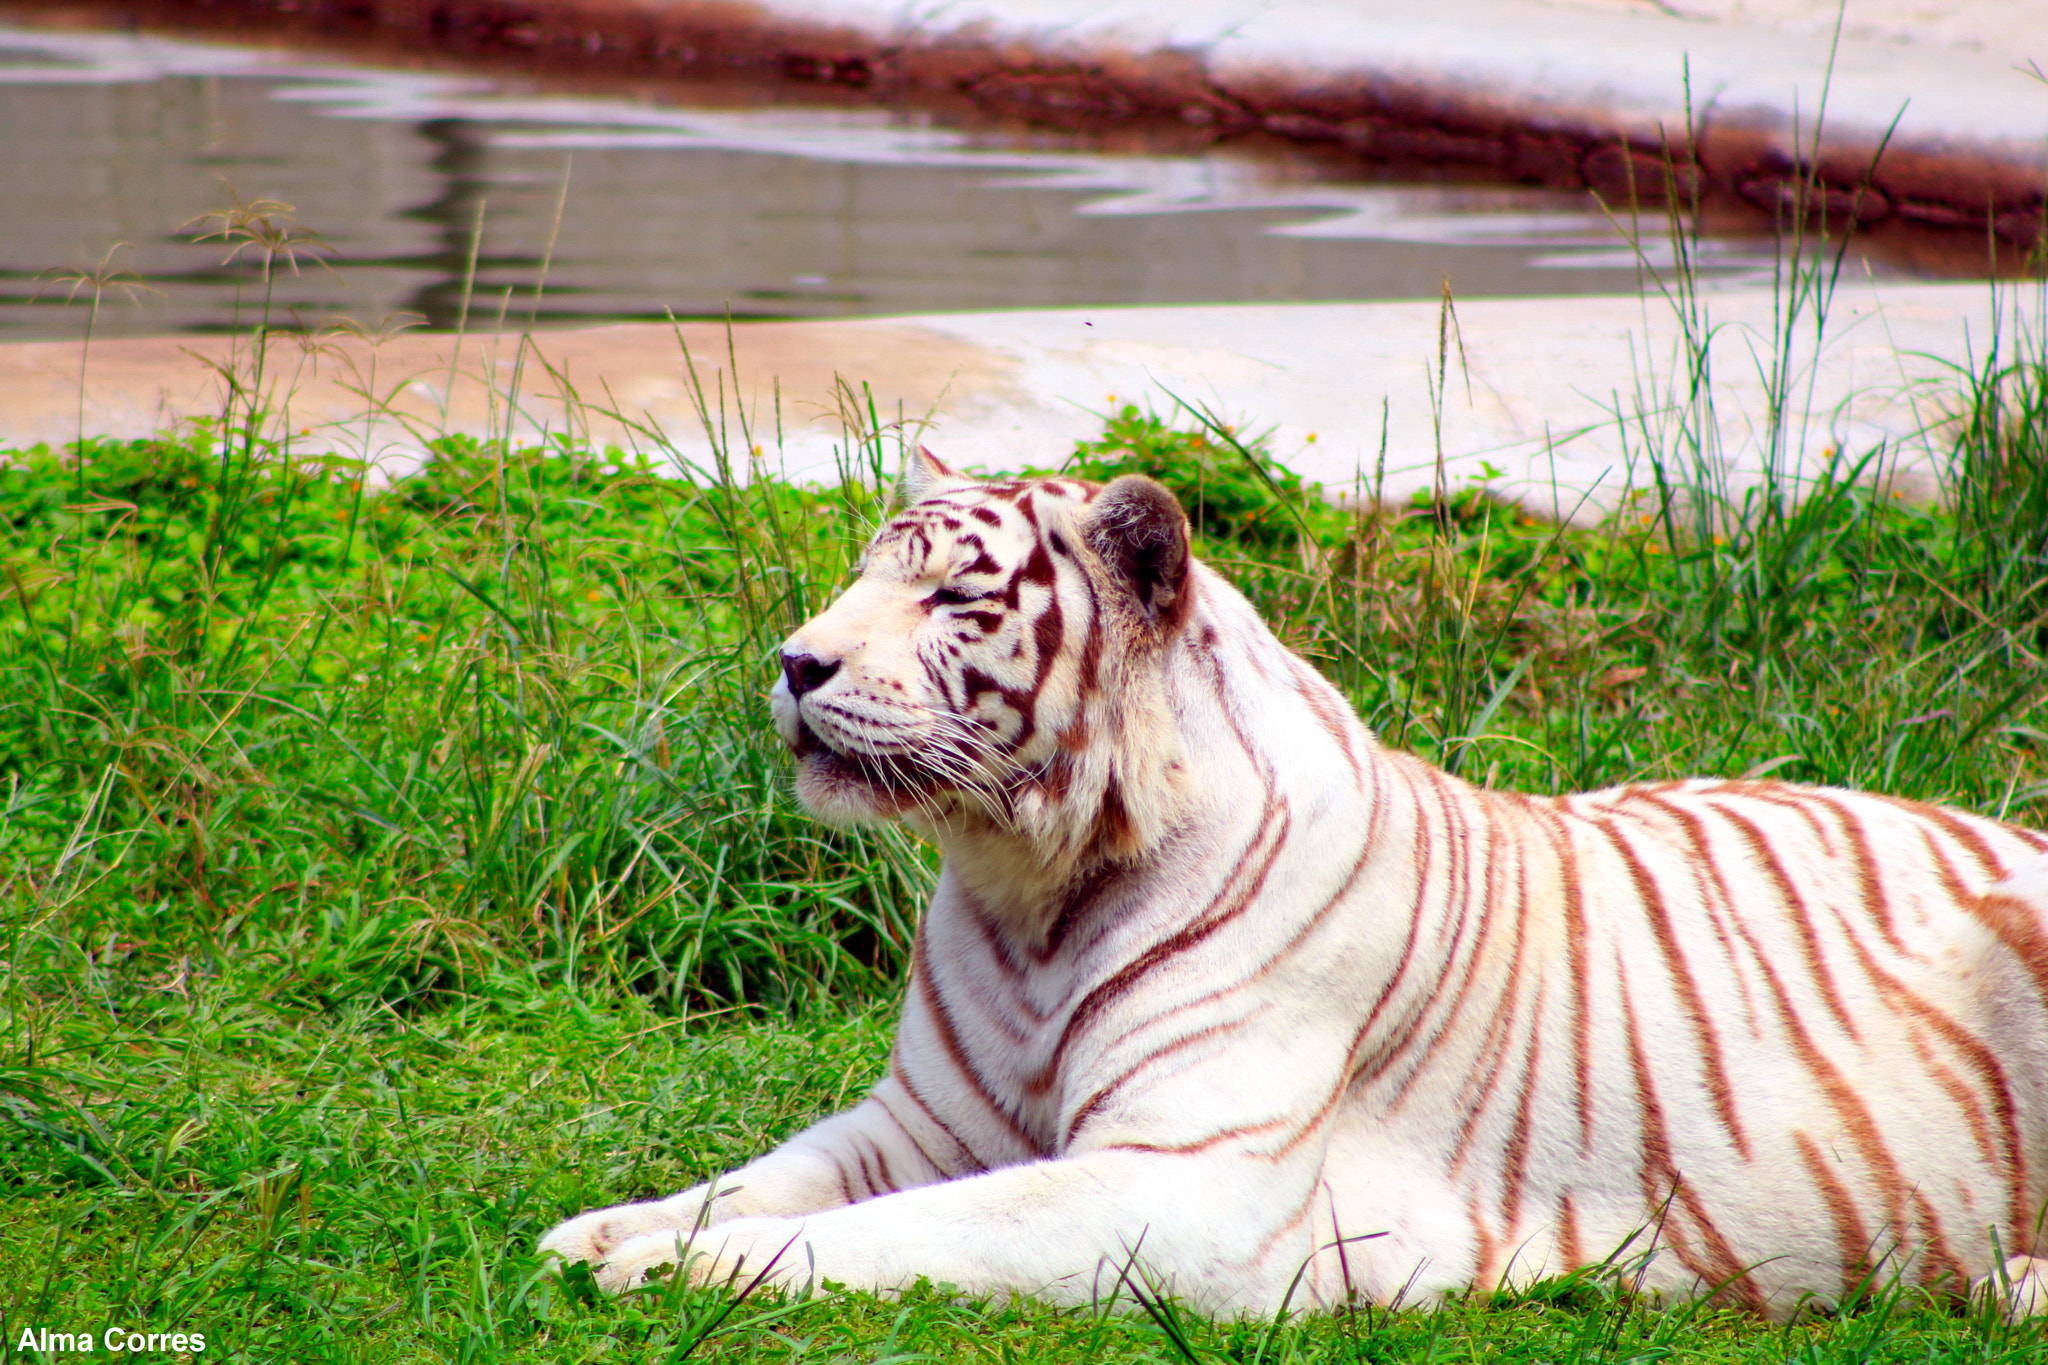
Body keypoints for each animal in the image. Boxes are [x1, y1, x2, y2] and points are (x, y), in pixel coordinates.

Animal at [539, 448, 2048, 1319]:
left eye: (953, 600)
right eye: (864, 575)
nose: (795, 663)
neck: (1031, 888)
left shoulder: (1186, 1190)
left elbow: (887, 1234)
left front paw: (675, 1272)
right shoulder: (919, 1122)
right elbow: (759, 1182)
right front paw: (598, 1234)